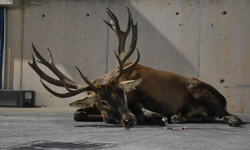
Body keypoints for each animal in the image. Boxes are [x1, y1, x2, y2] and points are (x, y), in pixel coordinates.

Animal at [29, 5, 242, 127]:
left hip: (200, 91)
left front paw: (153, 116)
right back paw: (178, 117)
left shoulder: (147, 99)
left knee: (228, 115)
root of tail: (223, 98)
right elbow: (77, 114)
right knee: (206, 116)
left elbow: (145, 109)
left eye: (123, 93)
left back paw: (229, 119)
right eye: (103, 101)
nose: (128, 119)